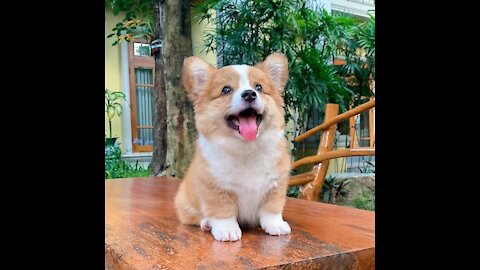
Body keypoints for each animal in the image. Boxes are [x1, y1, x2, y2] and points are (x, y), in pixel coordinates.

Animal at [174, 52, 290, 240]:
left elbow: (271, 209)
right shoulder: (216, 188)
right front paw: (227, 231)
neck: (246, 149)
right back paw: (206, 223)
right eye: (226, 90)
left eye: (259, 87)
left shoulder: (275, 186)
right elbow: (223, 212)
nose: (249, 94)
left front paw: (276, 225)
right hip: (184, 203)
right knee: (194, 217)